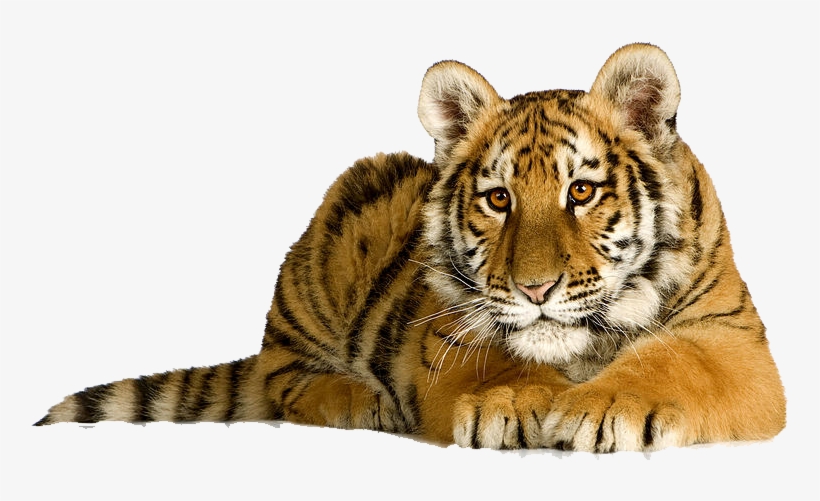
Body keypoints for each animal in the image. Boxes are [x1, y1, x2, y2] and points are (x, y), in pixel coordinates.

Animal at [36, 43, 786, 452]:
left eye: (580, 191)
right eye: (498, 199)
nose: (535, 290)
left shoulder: (735, 341)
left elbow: (675, 360)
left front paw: (603, 406)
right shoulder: (444, 336)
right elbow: (496, 360)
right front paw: (518, 402)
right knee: (280, 376)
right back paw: (356, 398)